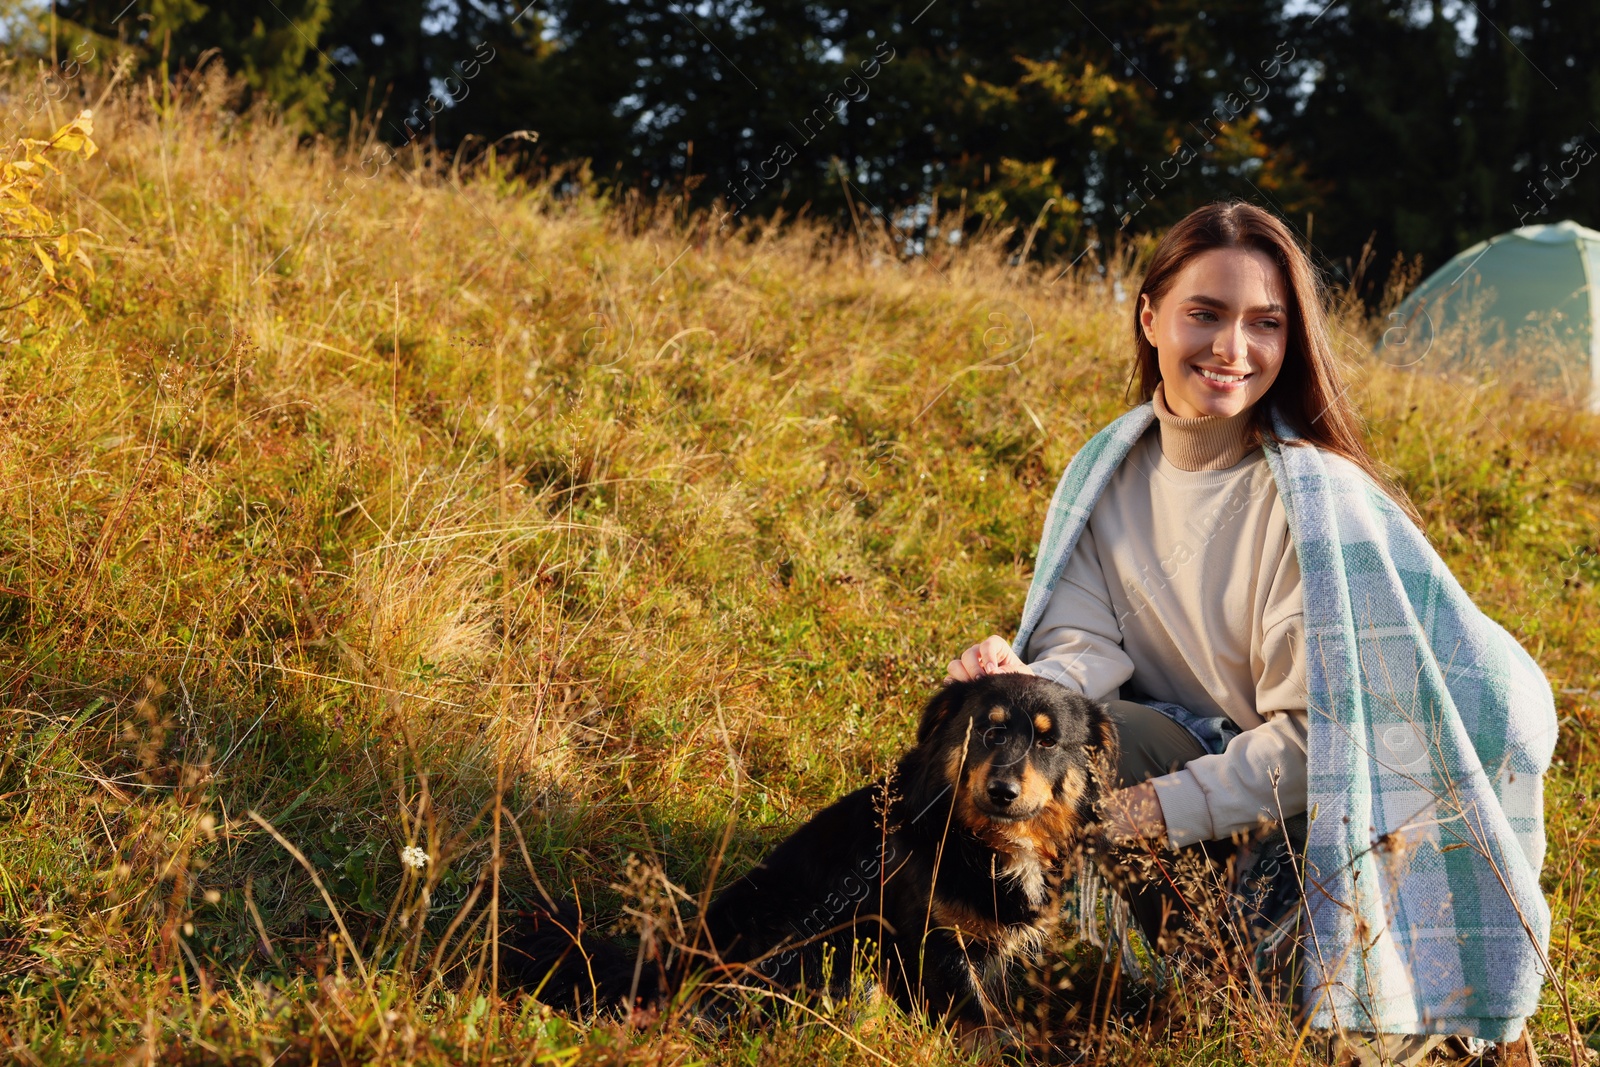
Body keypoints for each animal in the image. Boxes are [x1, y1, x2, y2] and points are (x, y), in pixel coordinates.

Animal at [499, 681, 1113, 1049]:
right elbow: (975, 1015)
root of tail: (673, 967)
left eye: (1048, 741)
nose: (1002, 792)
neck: (982, 842)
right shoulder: (934, 941)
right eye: (988, 729)